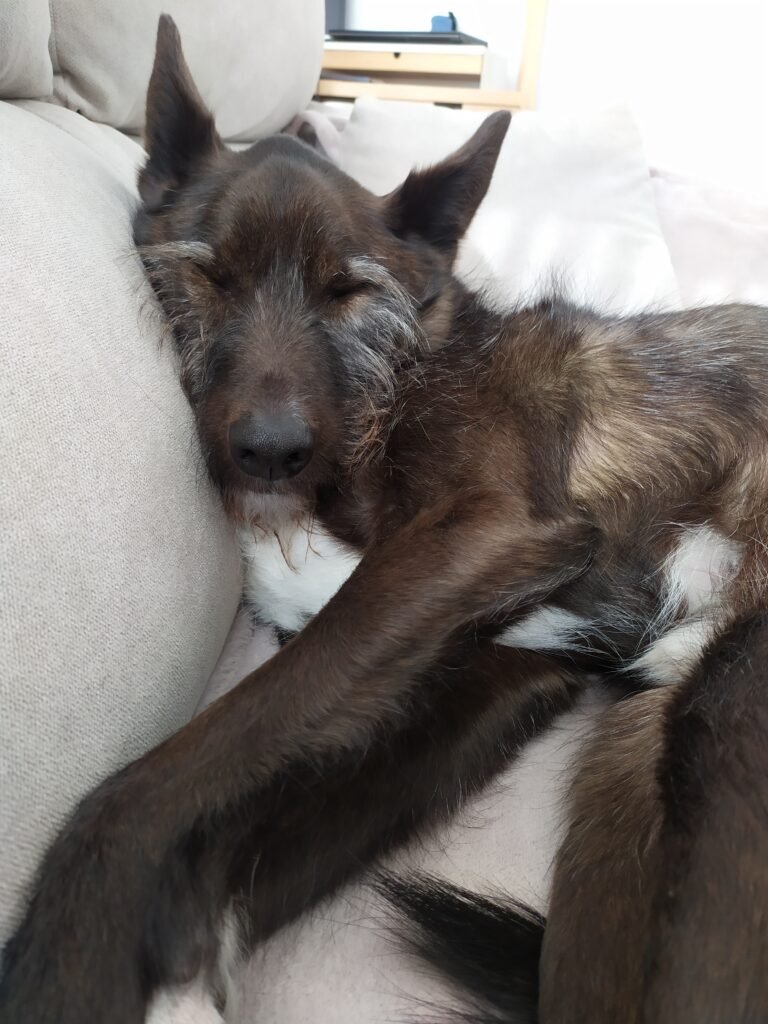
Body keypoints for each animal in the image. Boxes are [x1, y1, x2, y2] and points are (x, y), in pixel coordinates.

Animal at [1, 16, 768, 1024]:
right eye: (210, 275)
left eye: (349, 290)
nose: (270, 452)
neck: (390, 386)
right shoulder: (493, 671)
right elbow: (271, 814)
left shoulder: (483, 532)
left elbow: (178, 768)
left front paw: (71, 948)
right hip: (625, 778)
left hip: (728, 718)